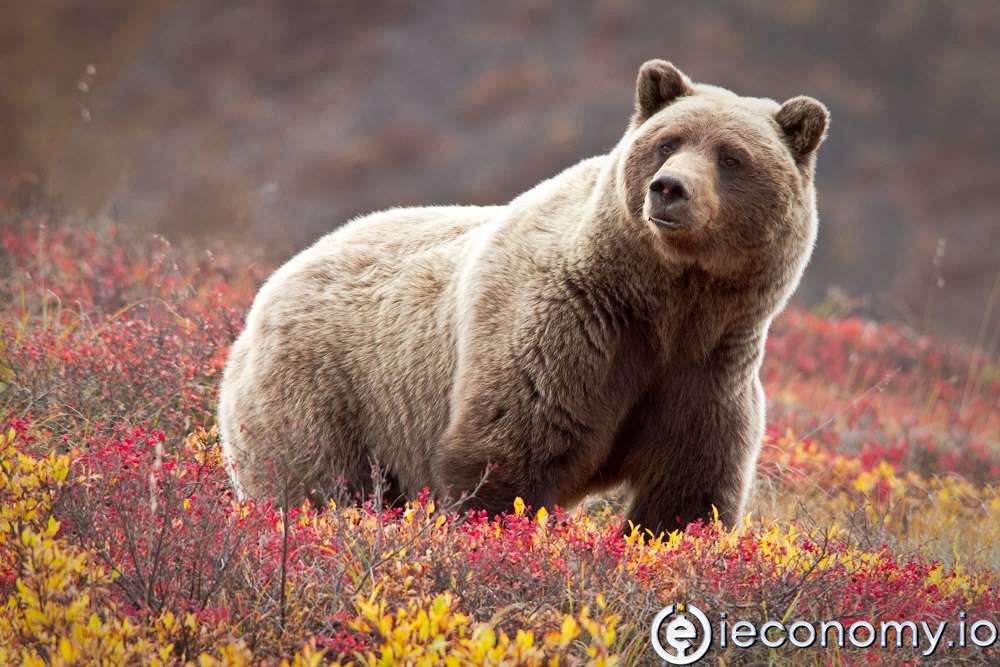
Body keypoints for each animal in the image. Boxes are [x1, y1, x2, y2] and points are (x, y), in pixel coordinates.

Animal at [218, 59, 828, 534]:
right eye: (666, 143)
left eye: (731, 156)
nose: (669, 188)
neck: (665, 303)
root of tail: (270, 288)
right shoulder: (567, 330)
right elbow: (507, 458)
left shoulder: (708, 369)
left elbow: (688, 493)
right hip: (326, 392)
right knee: (316, 484)